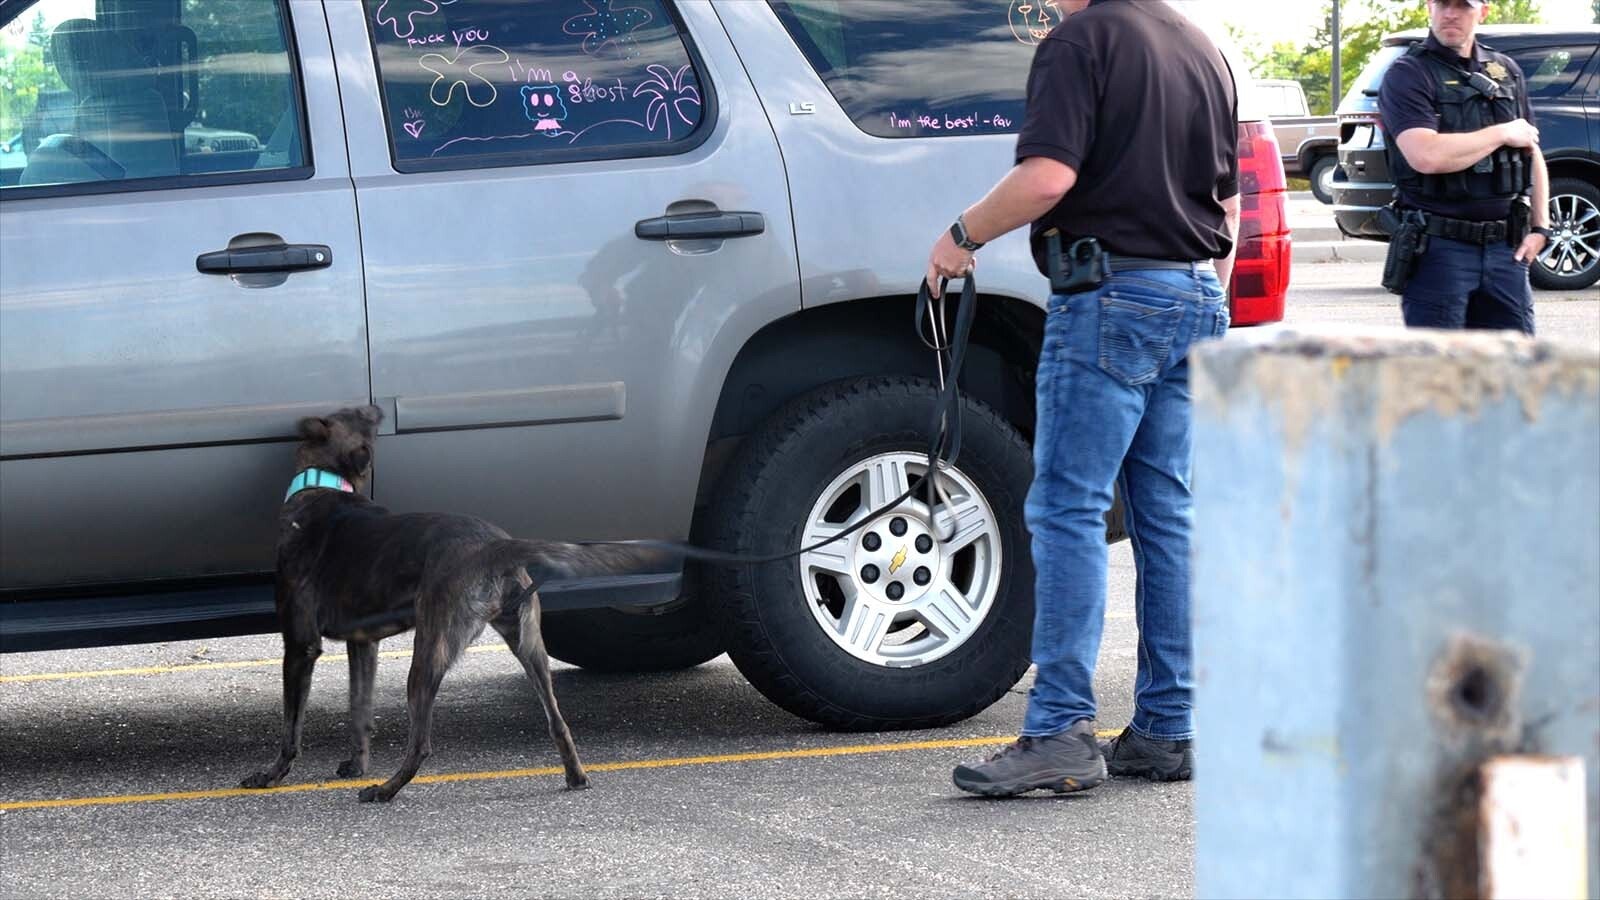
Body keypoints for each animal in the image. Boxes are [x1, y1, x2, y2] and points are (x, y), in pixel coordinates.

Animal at [240, 403, 665, 794]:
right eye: (360, 414)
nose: (378, 407)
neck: (325, 484)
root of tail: (494, 546)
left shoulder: (301, 646)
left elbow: (291, 727)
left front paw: (272, 775)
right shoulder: (363, 644)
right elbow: (359, 710)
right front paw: (356, 764)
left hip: (430, 649)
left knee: (422, 743)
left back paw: (385, 791)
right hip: (529, 646)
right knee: (557, 721)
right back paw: (576, 777)